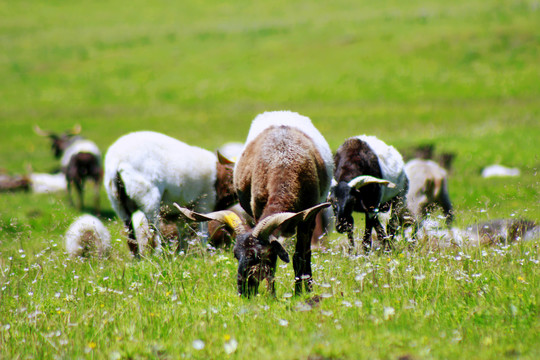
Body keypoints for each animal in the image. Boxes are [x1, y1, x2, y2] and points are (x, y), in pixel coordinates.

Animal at [175, 111, 334, 296]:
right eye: (236, 255)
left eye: (258, 255)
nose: (244, 291)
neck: (283, 162)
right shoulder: (257, 211)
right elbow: (272, 266)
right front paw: (271, 295)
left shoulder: (307, 218)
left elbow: (300, 257)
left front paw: (302, 292)